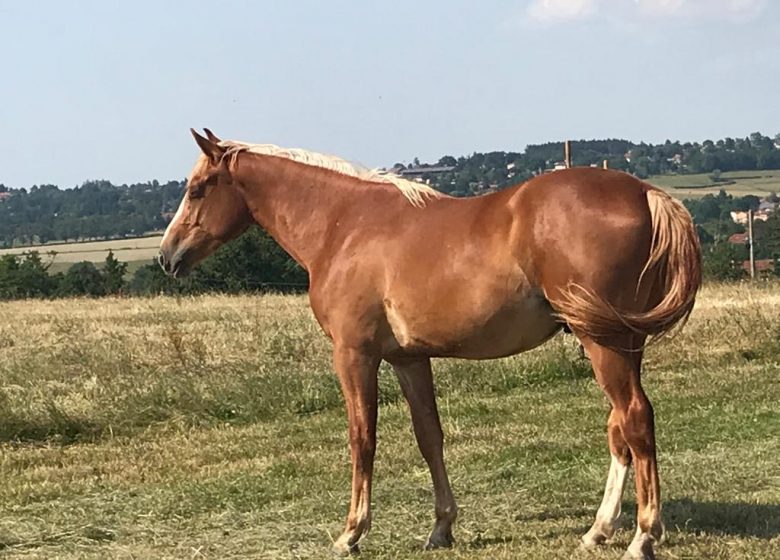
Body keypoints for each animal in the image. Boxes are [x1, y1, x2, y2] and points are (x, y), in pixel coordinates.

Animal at [157, 129, 700, 556]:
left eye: (198, 189)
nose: (167, 255)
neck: (344, 225)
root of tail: (645, 192)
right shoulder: (409, 359)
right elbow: (429, 438)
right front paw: (441, 528)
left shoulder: (354, 355)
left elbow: (362, 438)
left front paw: (351, 533)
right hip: (622, 343)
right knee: (620, 430)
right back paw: (598, 530)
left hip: (604, 342)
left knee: (634, 420)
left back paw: (642, 537)